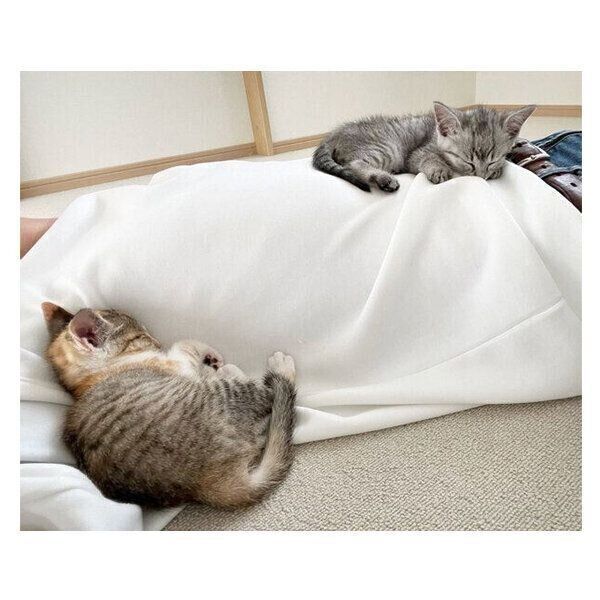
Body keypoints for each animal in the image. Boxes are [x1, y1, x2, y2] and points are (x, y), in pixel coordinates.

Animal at [42, 302, 297, 509]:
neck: (88, 378)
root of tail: (203, 485)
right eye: (141, 336)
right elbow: (184, 346)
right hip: (225, 394)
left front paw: (210, 359)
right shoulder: (177, 365)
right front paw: (213, 358)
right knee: (269, 393)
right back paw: (275, 367)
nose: (156, 341)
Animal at [312, 102, 536, 192]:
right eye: (467, 161)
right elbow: (428, 158)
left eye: (492, 160)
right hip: (387, 147)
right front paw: (438, 169)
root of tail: (333, 135)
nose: (480, 178)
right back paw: (384, 179)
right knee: (354, 163)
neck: (436, 136)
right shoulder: (416, 154)